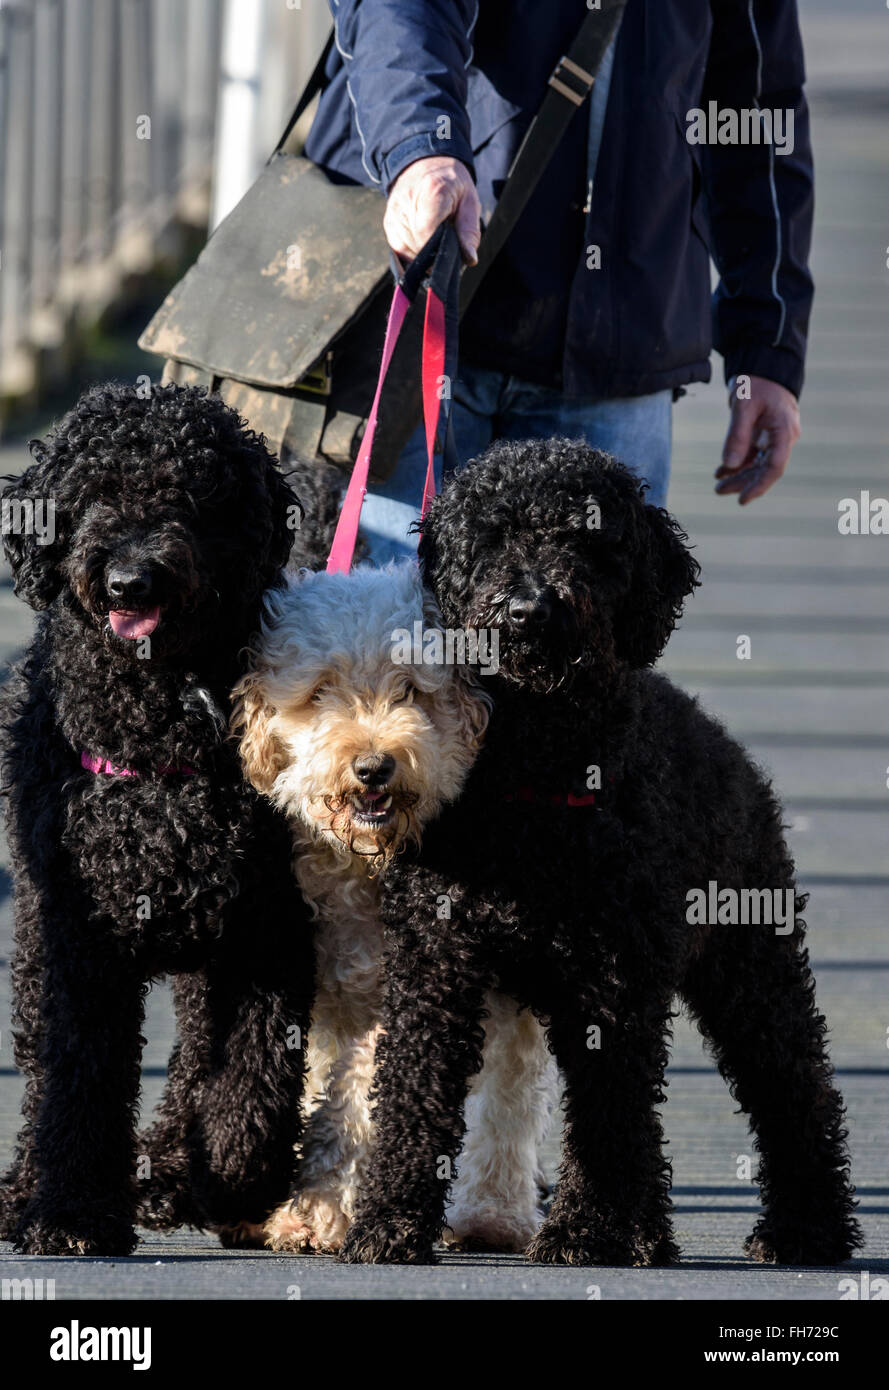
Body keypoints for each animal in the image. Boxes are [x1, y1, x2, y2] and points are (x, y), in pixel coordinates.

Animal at [0, 383, 313, 1262]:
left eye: (191, 493)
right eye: (94, 493)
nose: (130, 581)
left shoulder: (268, 930)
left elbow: (251, 1074)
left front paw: (234, 1176)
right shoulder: (79, 936)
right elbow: (78, 1075)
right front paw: (70, 1213)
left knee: (198, 1059)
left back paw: (176, 1170)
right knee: (41, 1067)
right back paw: (27, 1189)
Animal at [340, 439, 861, 1267]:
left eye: (586, 540)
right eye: (492, 537)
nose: (527, 608)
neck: (537, 767)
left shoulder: (610, 977)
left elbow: (608, 1110)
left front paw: (585, 1231)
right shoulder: (435, 965)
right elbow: (412, 1092)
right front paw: (387, 1222)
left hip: (750, 964)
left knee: (791, 1085)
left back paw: (805, 1228)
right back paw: (649, 1235)